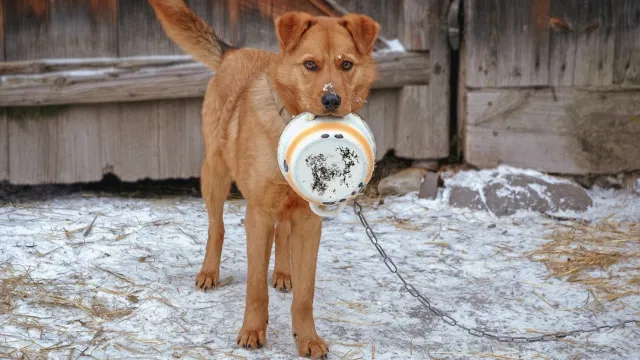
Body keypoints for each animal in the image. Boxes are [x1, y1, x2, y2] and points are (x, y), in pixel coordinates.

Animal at [149, 1, 380, 358]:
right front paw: (252, 331)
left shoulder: (309, 222)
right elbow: (255, 286)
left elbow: (305, 294)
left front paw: (307, 337)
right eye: (310, 65)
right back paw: (209, 272)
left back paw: (283, 272)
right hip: (215, 174)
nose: (331, 101)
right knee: (216, 228)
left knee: (281, 234)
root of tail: (234, 52)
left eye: (346, 65)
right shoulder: (257, 214)